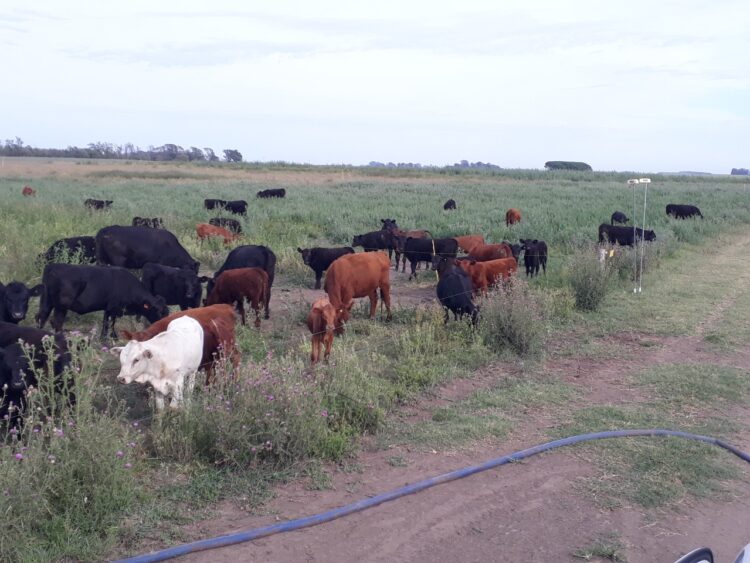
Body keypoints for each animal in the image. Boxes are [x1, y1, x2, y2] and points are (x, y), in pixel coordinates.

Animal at [36, 264, 169, 338]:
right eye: (160, 312)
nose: (166, 325)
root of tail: (52, 266)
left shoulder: (108, 308)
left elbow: (107, 321)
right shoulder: (113, 307)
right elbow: (110, 323)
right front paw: (110, 338)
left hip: (47, 302)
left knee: (41, 317)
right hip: (61, 305)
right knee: (56, 321)